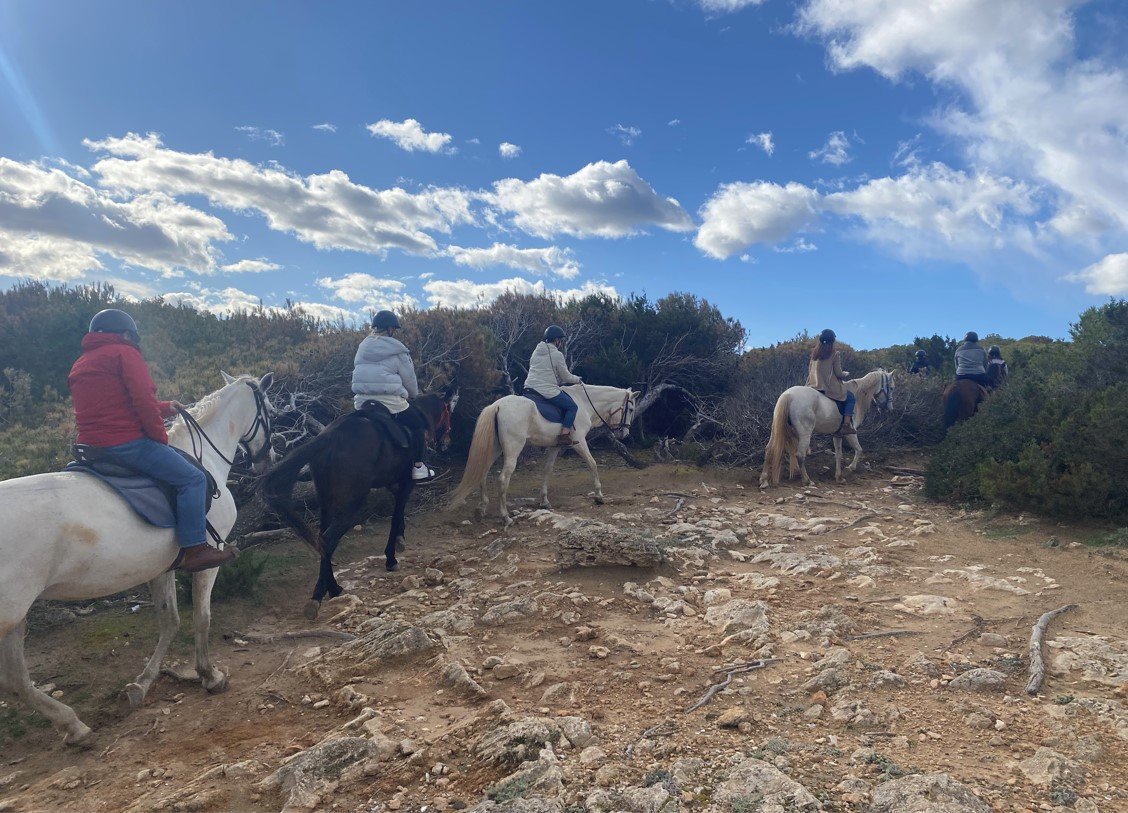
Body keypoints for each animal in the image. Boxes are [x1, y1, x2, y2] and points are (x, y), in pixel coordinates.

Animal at [0, 372, 274, 745]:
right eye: (270, 409)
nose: (268, 458)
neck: (202, 458)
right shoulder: (209, 561)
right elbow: (201, 617)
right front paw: (209, 675)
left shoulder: (161, 567)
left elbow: (170, 620)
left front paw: (141, 685)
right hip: (12, 611)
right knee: (14, 678)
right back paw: (73, 725)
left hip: (16, 615)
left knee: (16, 678)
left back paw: (73, 727)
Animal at [262, 390, 455, 620]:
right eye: (448, 413)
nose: (446, 442)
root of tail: (330, 437)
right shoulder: (406, 484)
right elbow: (397, 515)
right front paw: (392, 555)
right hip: (352, 502)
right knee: (327, 539)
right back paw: (319, 595)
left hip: (327, 502)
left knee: (322, 539)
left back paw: (332, 588)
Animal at [447, 384, 638, 525]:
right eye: (630, 409)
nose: (625, 434)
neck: (583, 402)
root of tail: (497, 405)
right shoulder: (580, 442)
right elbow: (593, 464)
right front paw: (599, 495)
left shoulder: (555, 446)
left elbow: (547, 470)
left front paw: (544, 501)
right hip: (513, 449)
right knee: (502, 479)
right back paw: (505, 517)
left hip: (495, 449)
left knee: (483, 474)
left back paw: (481, 509)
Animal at [759, 370, 894, 489]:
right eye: (891, 387)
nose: (890, 408)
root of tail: (788, 395)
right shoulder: (851, 433)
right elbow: (859, 450)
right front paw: (849, 469)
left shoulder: (837, 435)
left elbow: (839, 455)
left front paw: (839, 477)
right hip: (805, 433)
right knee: (800, 455)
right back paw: (807, 481)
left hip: (776, 430)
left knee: (769, 449)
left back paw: (763, 479)